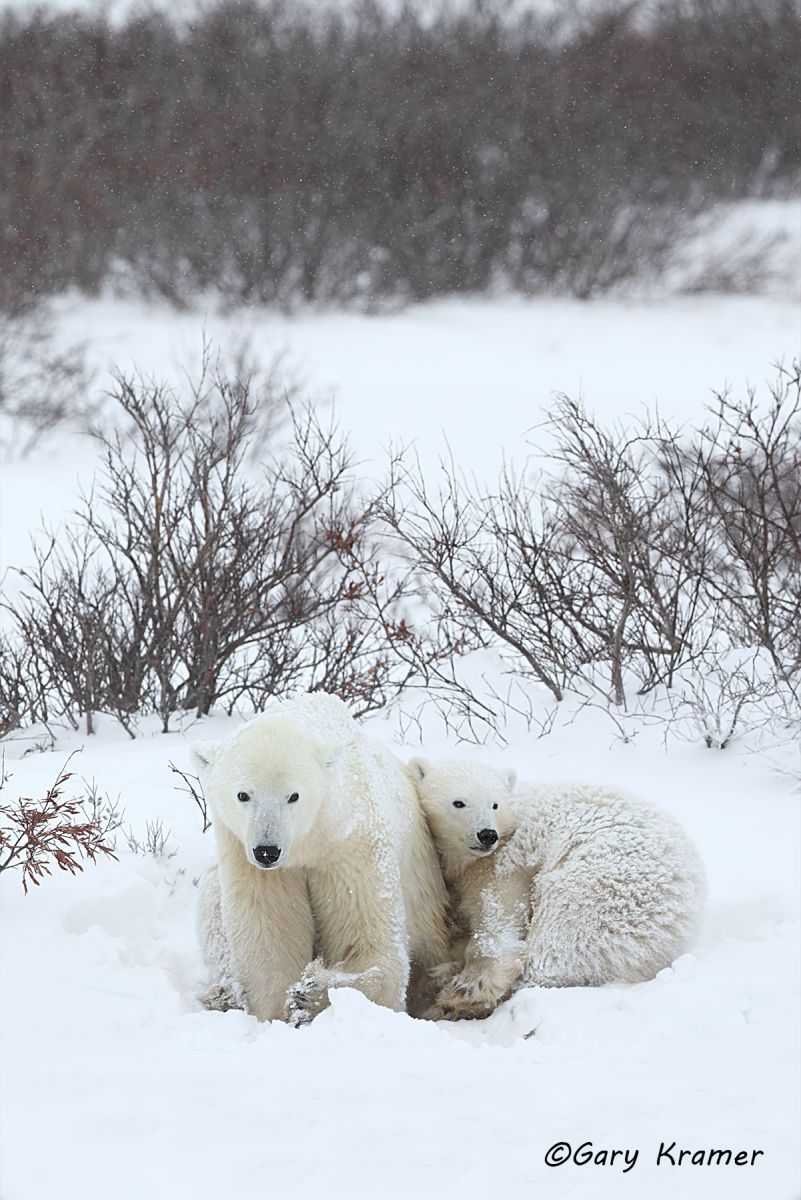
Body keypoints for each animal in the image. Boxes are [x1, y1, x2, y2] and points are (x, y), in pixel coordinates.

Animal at [192, 693, 451, 1024]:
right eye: (243, 795)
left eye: (293, 796)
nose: (267, 851)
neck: (310, 842)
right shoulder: (247, 857)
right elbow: (270, 935)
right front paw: (278, 1012)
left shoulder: (351, 846)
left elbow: (372, 948)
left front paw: (311, 992)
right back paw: (223, 994)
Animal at [408, 756, 706, 1020]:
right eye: (458, 802)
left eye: (494, 804)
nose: (487, 834)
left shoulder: (505, 861)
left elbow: (497, 913)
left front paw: (470, 984)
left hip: (604, 880)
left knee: (560, 937)